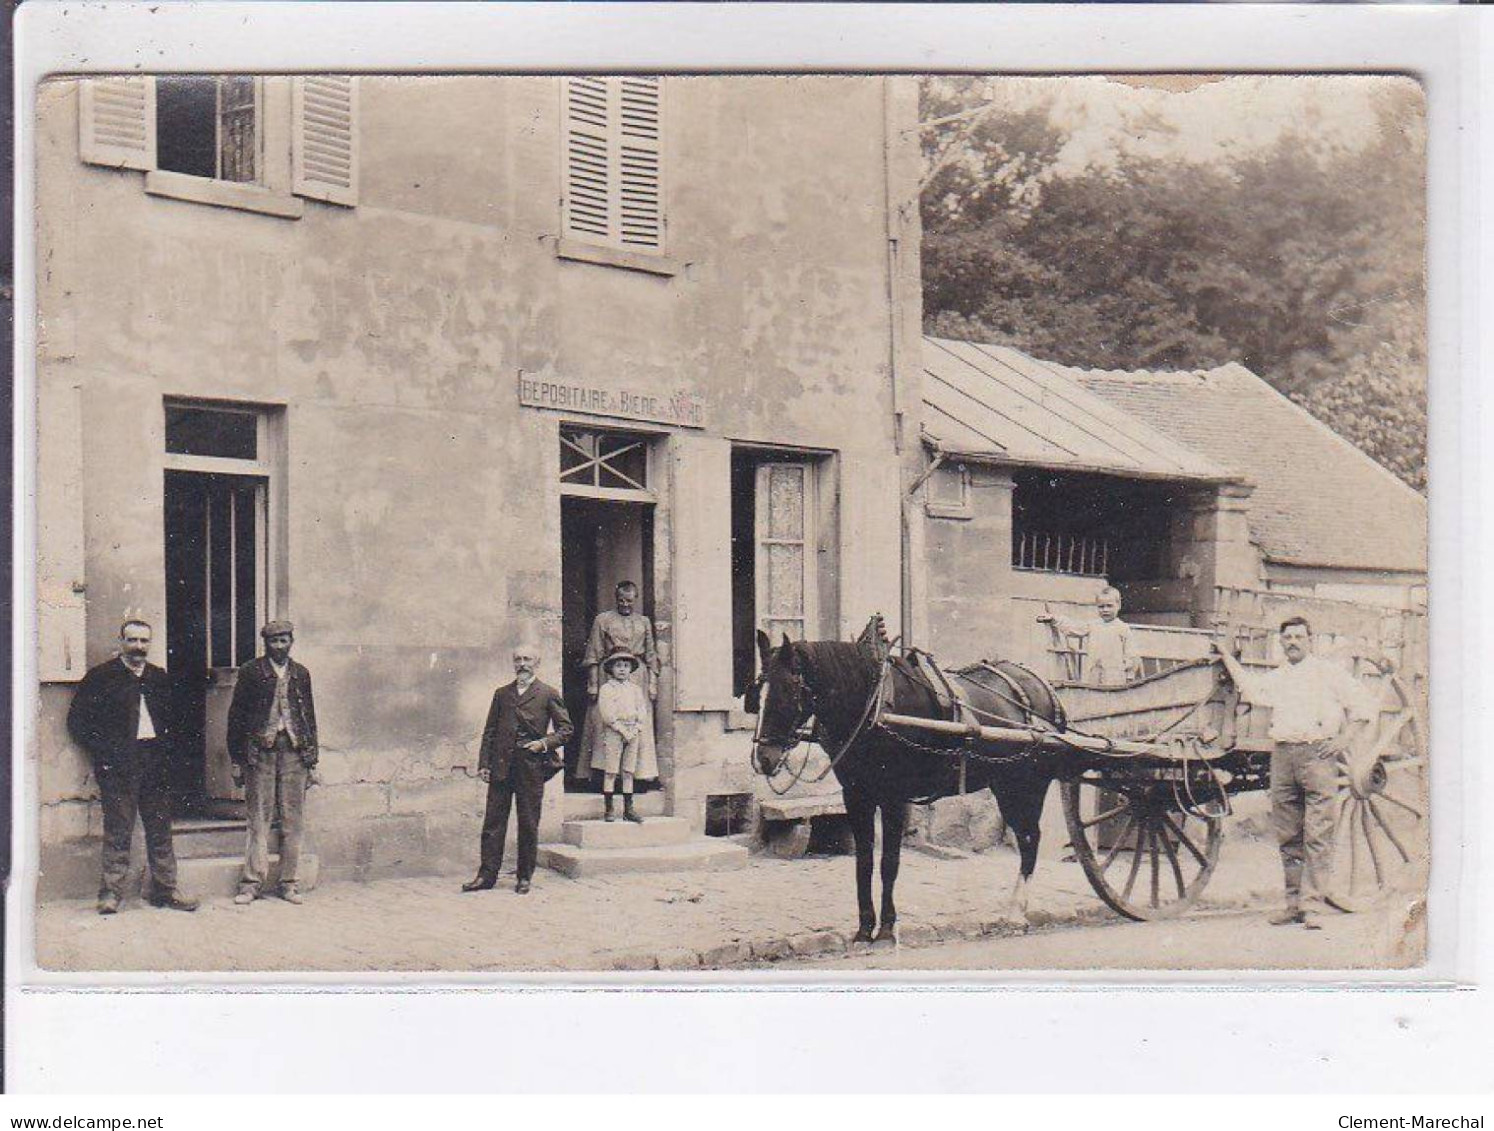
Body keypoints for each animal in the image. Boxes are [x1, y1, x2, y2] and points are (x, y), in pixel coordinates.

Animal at [747, 627, 1063, 944]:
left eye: (788, 690)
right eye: (757, 691)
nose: (764, 758)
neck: (872, 706)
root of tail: (1042, 686)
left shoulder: (894, 797)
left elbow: (889, 862)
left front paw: (887, 927)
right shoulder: (856, 796)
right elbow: (864, 862)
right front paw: (864, 928)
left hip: (1026, 785)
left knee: (1029, 839)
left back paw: (1016, 912)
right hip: (1004, 784)